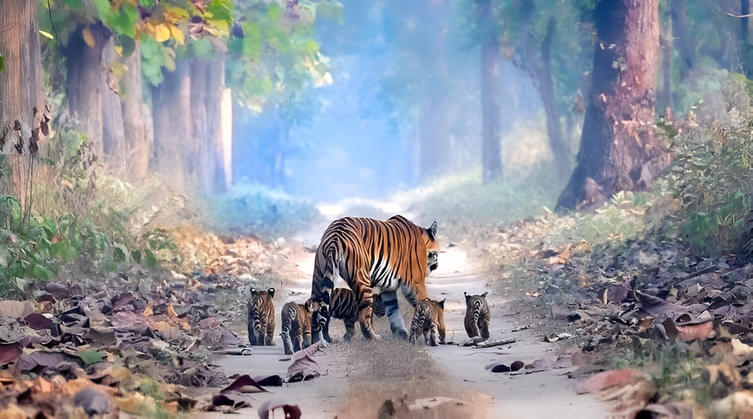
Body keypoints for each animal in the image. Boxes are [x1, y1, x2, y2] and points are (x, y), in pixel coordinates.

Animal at [309, 215, 439, 342]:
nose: (437, 266)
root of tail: (335, 235)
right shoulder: (415, 282)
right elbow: (424, 303)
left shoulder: (388, 287)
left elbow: (393, 310)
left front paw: (401, 333)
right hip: (362, 280)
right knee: (363, 316)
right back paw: (373, 337)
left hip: (318, 276)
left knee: (314, 312)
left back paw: (317, 341)